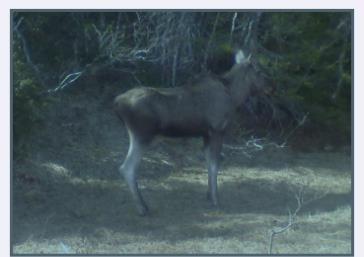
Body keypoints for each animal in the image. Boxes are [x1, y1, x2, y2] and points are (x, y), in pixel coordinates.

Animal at [115, 49, 272, 214]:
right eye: (260, 71)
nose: (271, 87)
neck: (234, 96)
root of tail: (117, 102)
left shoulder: (206, 134)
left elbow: (209, 163)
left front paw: (209, 195)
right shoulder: (217, 130)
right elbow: (215, 164)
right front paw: (215, 200)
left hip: (137, 136)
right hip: (142, 136)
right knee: (127, 168)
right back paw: (142, 207)